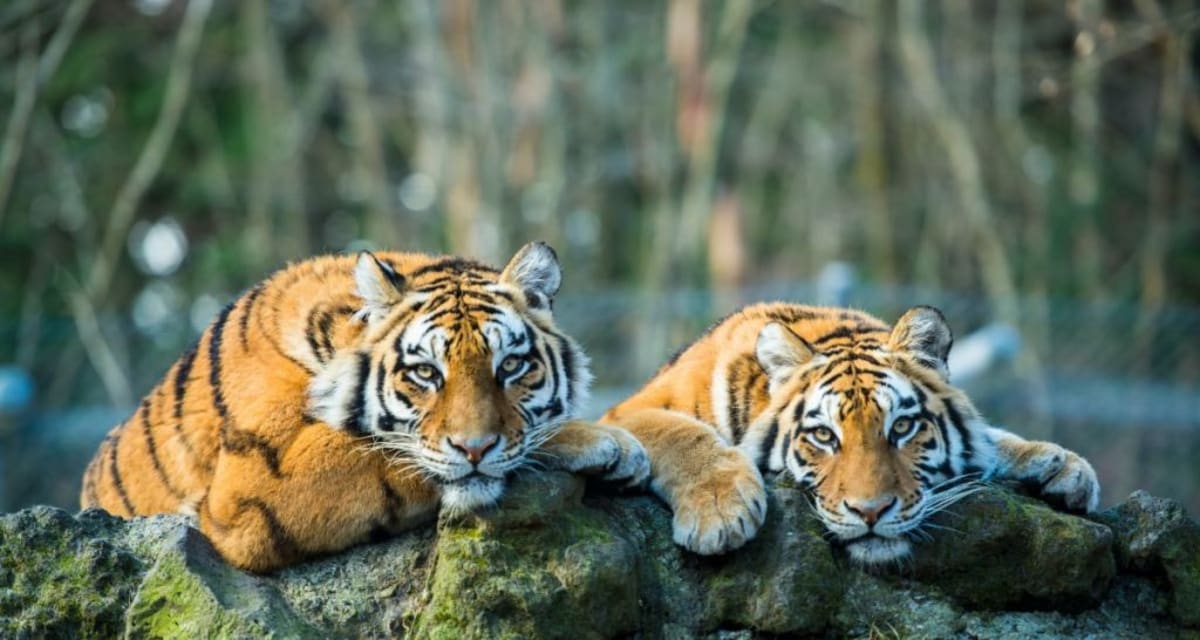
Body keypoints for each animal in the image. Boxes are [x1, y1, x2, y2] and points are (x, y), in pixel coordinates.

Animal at [80, 242, 649, 572]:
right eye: (426, 373)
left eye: (510, 366)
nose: (475, 449)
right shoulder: (251, 488)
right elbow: (386, 451)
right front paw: (605, 441)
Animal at [601, 303, 1100, 564]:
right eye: (824, 436)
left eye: (902, 427)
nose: (871, 512)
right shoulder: (626, 413)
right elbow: (682, 433)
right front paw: (720, 513)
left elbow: (991, 438)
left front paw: (1063, 465)